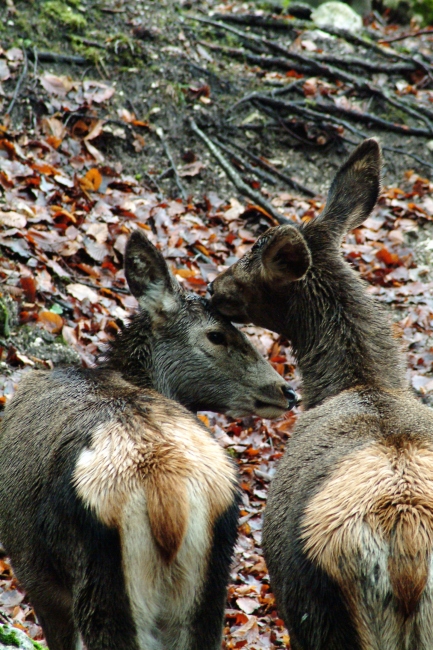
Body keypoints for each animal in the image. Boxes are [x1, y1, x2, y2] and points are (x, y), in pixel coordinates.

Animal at [0, 228, 294, 648]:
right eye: (217, 334)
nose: (287, 390)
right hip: (211, 590)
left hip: (101, 579)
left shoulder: (33, 575)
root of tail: (167, 499)